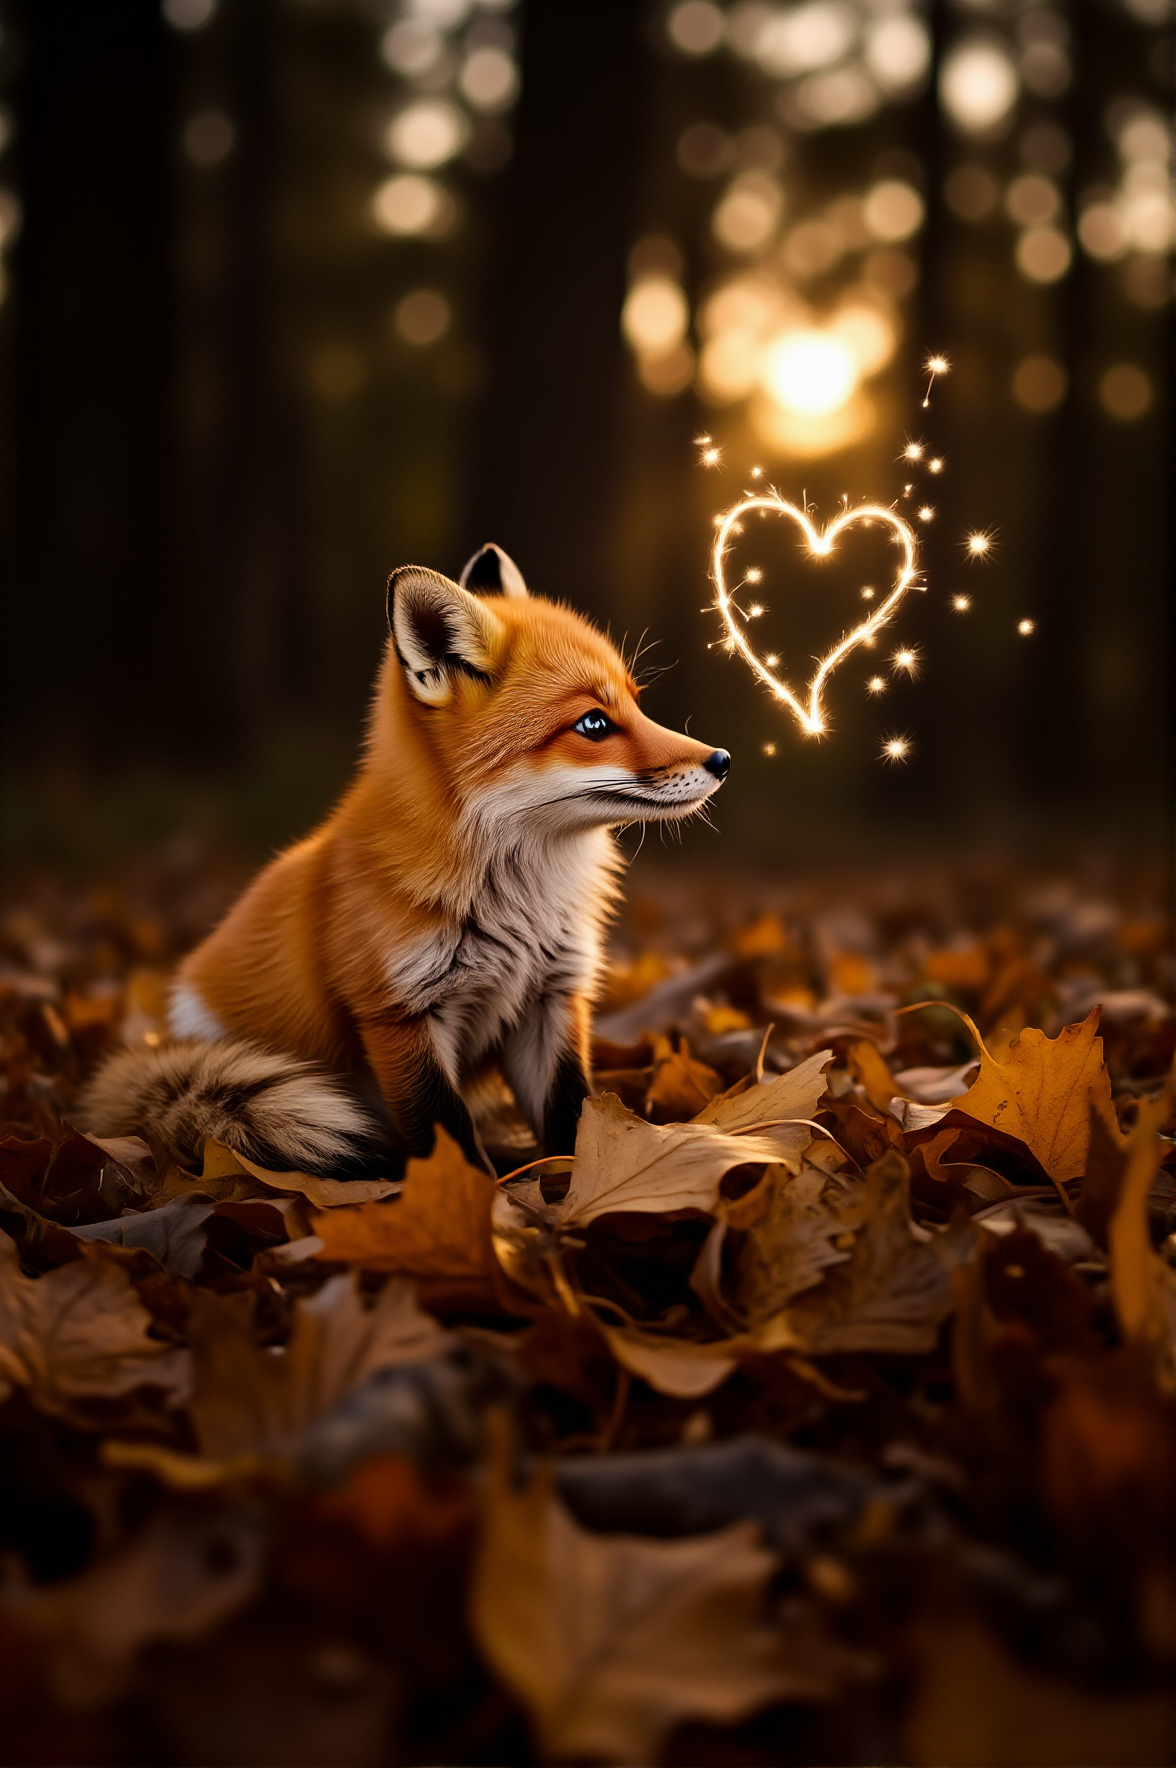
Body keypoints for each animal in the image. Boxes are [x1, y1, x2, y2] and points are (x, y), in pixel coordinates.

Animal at [81, 544, 730, 1177]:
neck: (522, 903)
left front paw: (573, 1186)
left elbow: (571, 1120)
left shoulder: (551, 996)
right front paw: (479, 1203)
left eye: (639, 707)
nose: (722, 759)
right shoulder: (400, 1014)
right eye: (593, 723)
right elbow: (447, 1134)